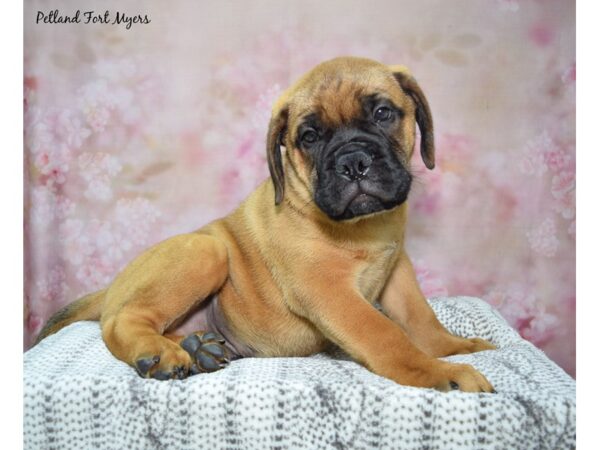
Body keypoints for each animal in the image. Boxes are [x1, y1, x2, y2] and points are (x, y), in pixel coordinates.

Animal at [37, 56, 496, 392]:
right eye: (309, 137)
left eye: (383, 113)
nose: (353, 162)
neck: (362, 226)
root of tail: (113, 286)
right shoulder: (330, 292)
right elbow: (386, 334)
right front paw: (439, 372)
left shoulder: (397, 268)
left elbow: (420, 319)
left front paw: (453, 348)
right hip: (205, 250)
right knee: (122, 320)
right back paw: (160, 353)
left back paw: (200, 348)